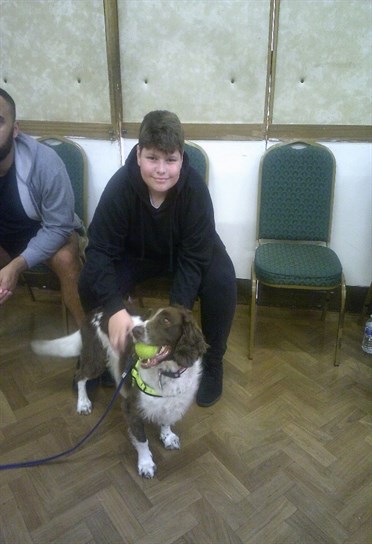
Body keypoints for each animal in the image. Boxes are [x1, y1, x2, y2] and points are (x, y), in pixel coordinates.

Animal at [31, 304, 206, 478]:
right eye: (148, 316)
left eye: (166, 320)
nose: (135, 331)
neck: (166, 373)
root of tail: (95, 311)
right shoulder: (131, 408)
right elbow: (142, 440)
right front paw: (146, 464)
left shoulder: (173, 400)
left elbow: (166, 419)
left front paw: (167, 436)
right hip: (96, 357)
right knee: (80, 375)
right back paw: (83, 403)